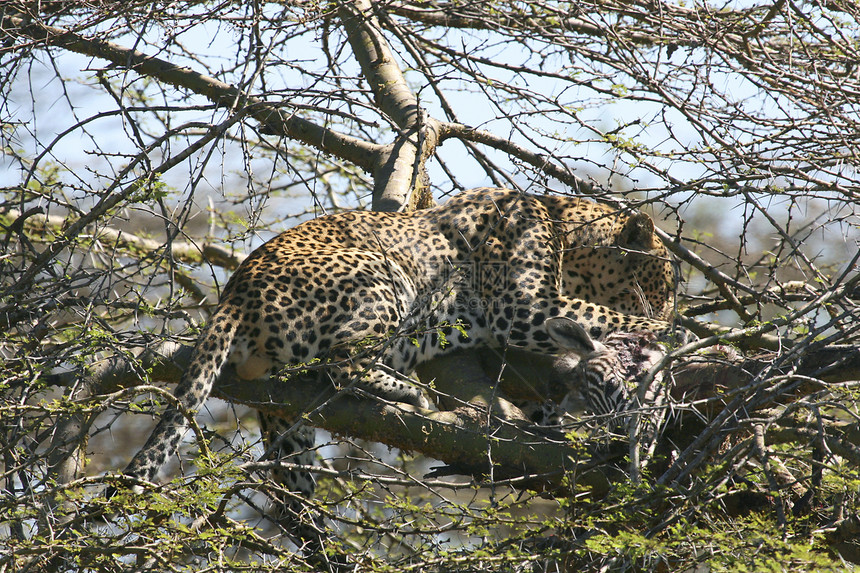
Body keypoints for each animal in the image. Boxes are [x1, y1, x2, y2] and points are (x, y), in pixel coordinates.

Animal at [122, 188, 684, 544]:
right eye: (664, 284)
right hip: (383, 276)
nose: (671, 307)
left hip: (286, 427)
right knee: (342, 363)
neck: (563, 224)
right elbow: (605, 315)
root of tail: (233, 294)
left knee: (291, 491)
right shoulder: (522, 306)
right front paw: (675, 334)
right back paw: (406, 392)